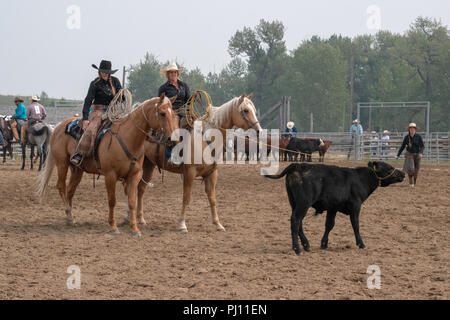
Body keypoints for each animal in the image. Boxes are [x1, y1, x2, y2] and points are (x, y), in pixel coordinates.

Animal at [37, 94, 178, 236]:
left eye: (173, 114)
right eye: (162, 113)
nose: (172, 139)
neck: (128, 138)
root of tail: (59, 126)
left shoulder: (134, 175)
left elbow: (132, 201)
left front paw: (135, 229)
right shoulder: (110, 175)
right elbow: (112, 200)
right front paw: (113, 227)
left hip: (77, 169)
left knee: (70, 190)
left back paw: (70, 218)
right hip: (62, 163)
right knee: (61, 186)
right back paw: (67, 213)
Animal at [137, 93, 264, 232]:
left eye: (254, 110)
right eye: (245, 110)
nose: (259, 130)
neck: (206, 139)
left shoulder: (212, 174)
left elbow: (212, 199)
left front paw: (218, 224)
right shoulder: (189, 173)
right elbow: (186, 198)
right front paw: (182, 224)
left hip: (149, 165)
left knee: (140, 188)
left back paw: (140, 219)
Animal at [266, 162, 406, 255]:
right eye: (389, 168)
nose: (403, 173)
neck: (361, 179)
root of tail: (298, 165)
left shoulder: (332, 207)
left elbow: (329, 225)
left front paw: (324, 244)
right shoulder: (355, 205)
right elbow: (355, 224)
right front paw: (361, 243)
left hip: (294, 202)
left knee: (298, 221)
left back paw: (306, 245)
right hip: (303, 203)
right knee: (296, 220)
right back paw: (298, 248)